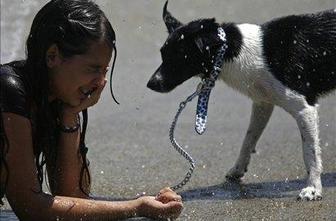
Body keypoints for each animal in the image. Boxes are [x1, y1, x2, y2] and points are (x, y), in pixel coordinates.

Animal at [148, 1, 336, 201]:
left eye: (179, 56)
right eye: (162, 54)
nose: (151, 83)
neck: (233, 50)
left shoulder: (304, 108)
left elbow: (310, 152)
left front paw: (313, 188)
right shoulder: (263, 104)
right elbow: (248, 139)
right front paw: (238, 169)